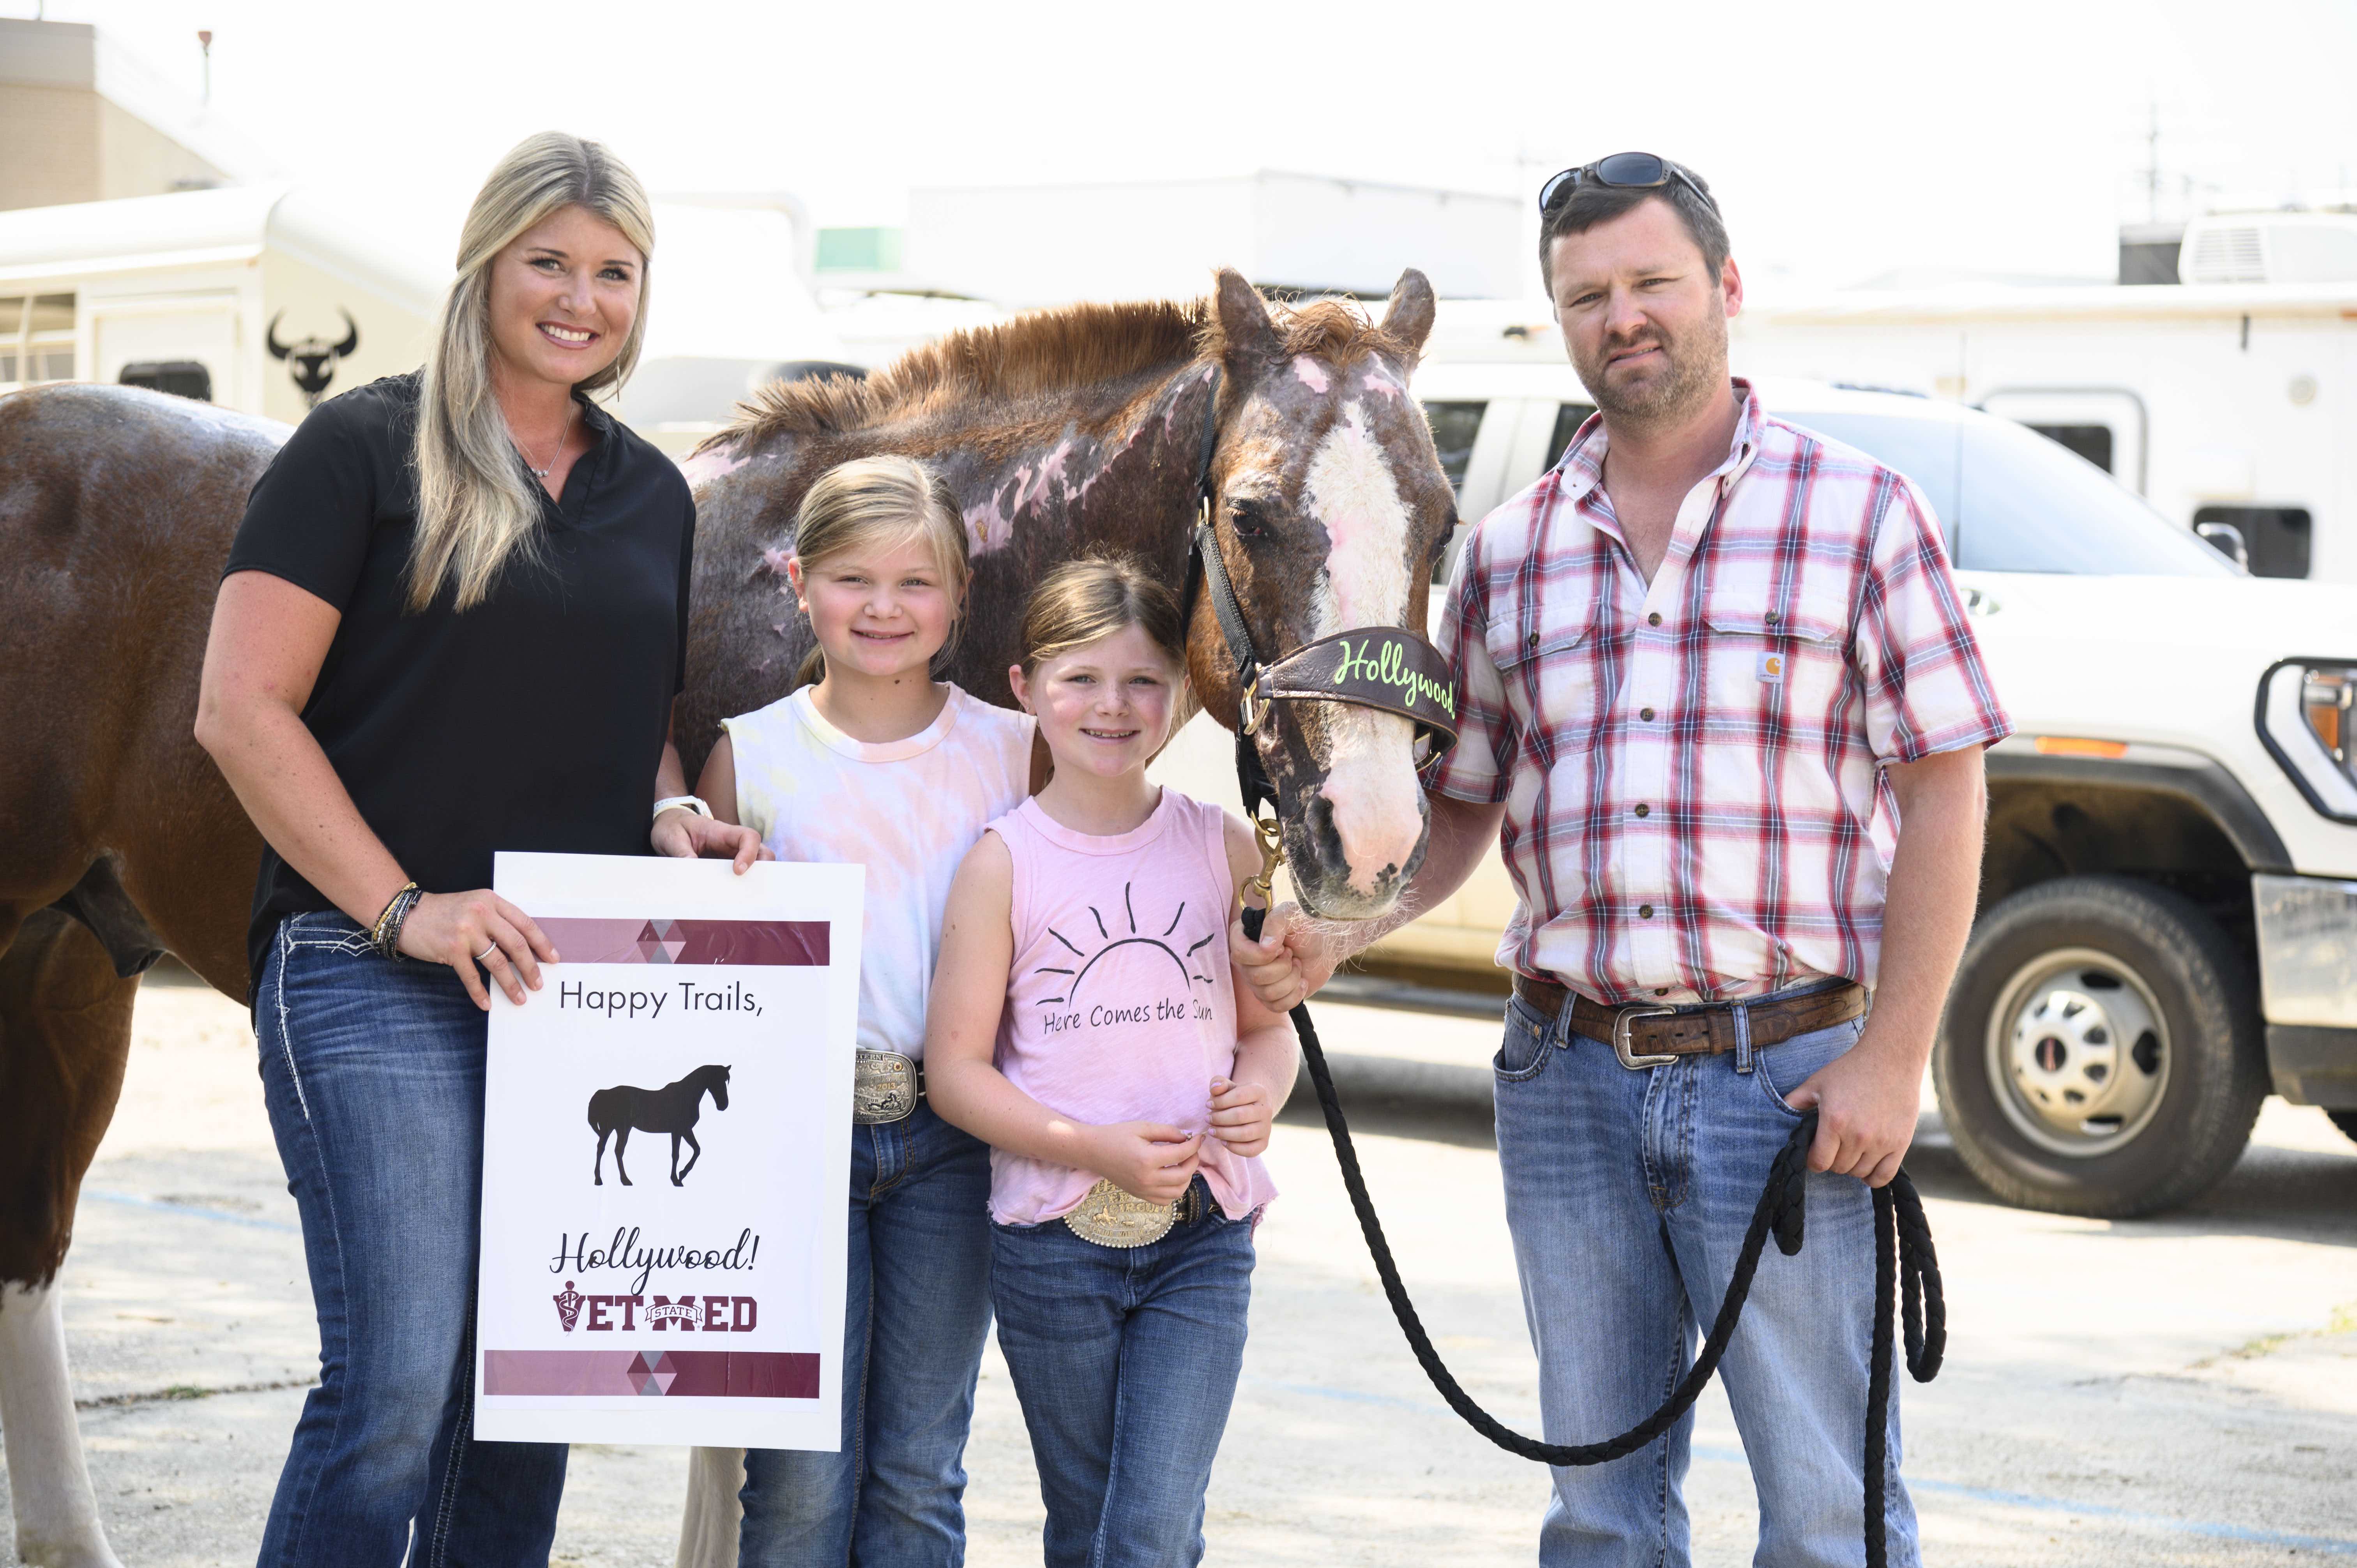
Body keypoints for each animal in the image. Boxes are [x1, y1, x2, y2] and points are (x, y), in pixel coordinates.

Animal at [587, 1056, 726, 1179]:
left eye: (726, 1081)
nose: (724, 1105)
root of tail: (604, 1093)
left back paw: (611, 1179)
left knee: (609, 1150)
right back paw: (615, 1180)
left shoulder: (683, 1131)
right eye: (716, 1080)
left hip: (615, 1129)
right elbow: (678, 1154)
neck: (685, 1096)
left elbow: (695, 1150)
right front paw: (677, 1178)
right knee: (611, 1150)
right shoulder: (681, 1131)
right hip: (617, 1129)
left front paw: (680, 1176)